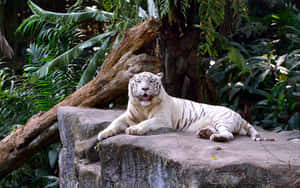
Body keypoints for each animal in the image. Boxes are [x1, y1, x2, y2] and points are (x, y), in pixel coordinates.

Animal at [96, 71, 264, 142]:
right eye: (138, 81)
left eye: (151, 81)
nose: (144, 89)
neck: (144, 107)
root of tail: (239, 115)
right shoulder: (127, 116)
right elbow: (114, 123)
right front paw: (102, 134)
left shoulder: (162, 119)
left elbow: (147, 123)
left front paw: (134, 129)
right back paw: (204, 133)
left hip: (221, 119)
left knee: (228, 134)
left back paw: (216, 138)